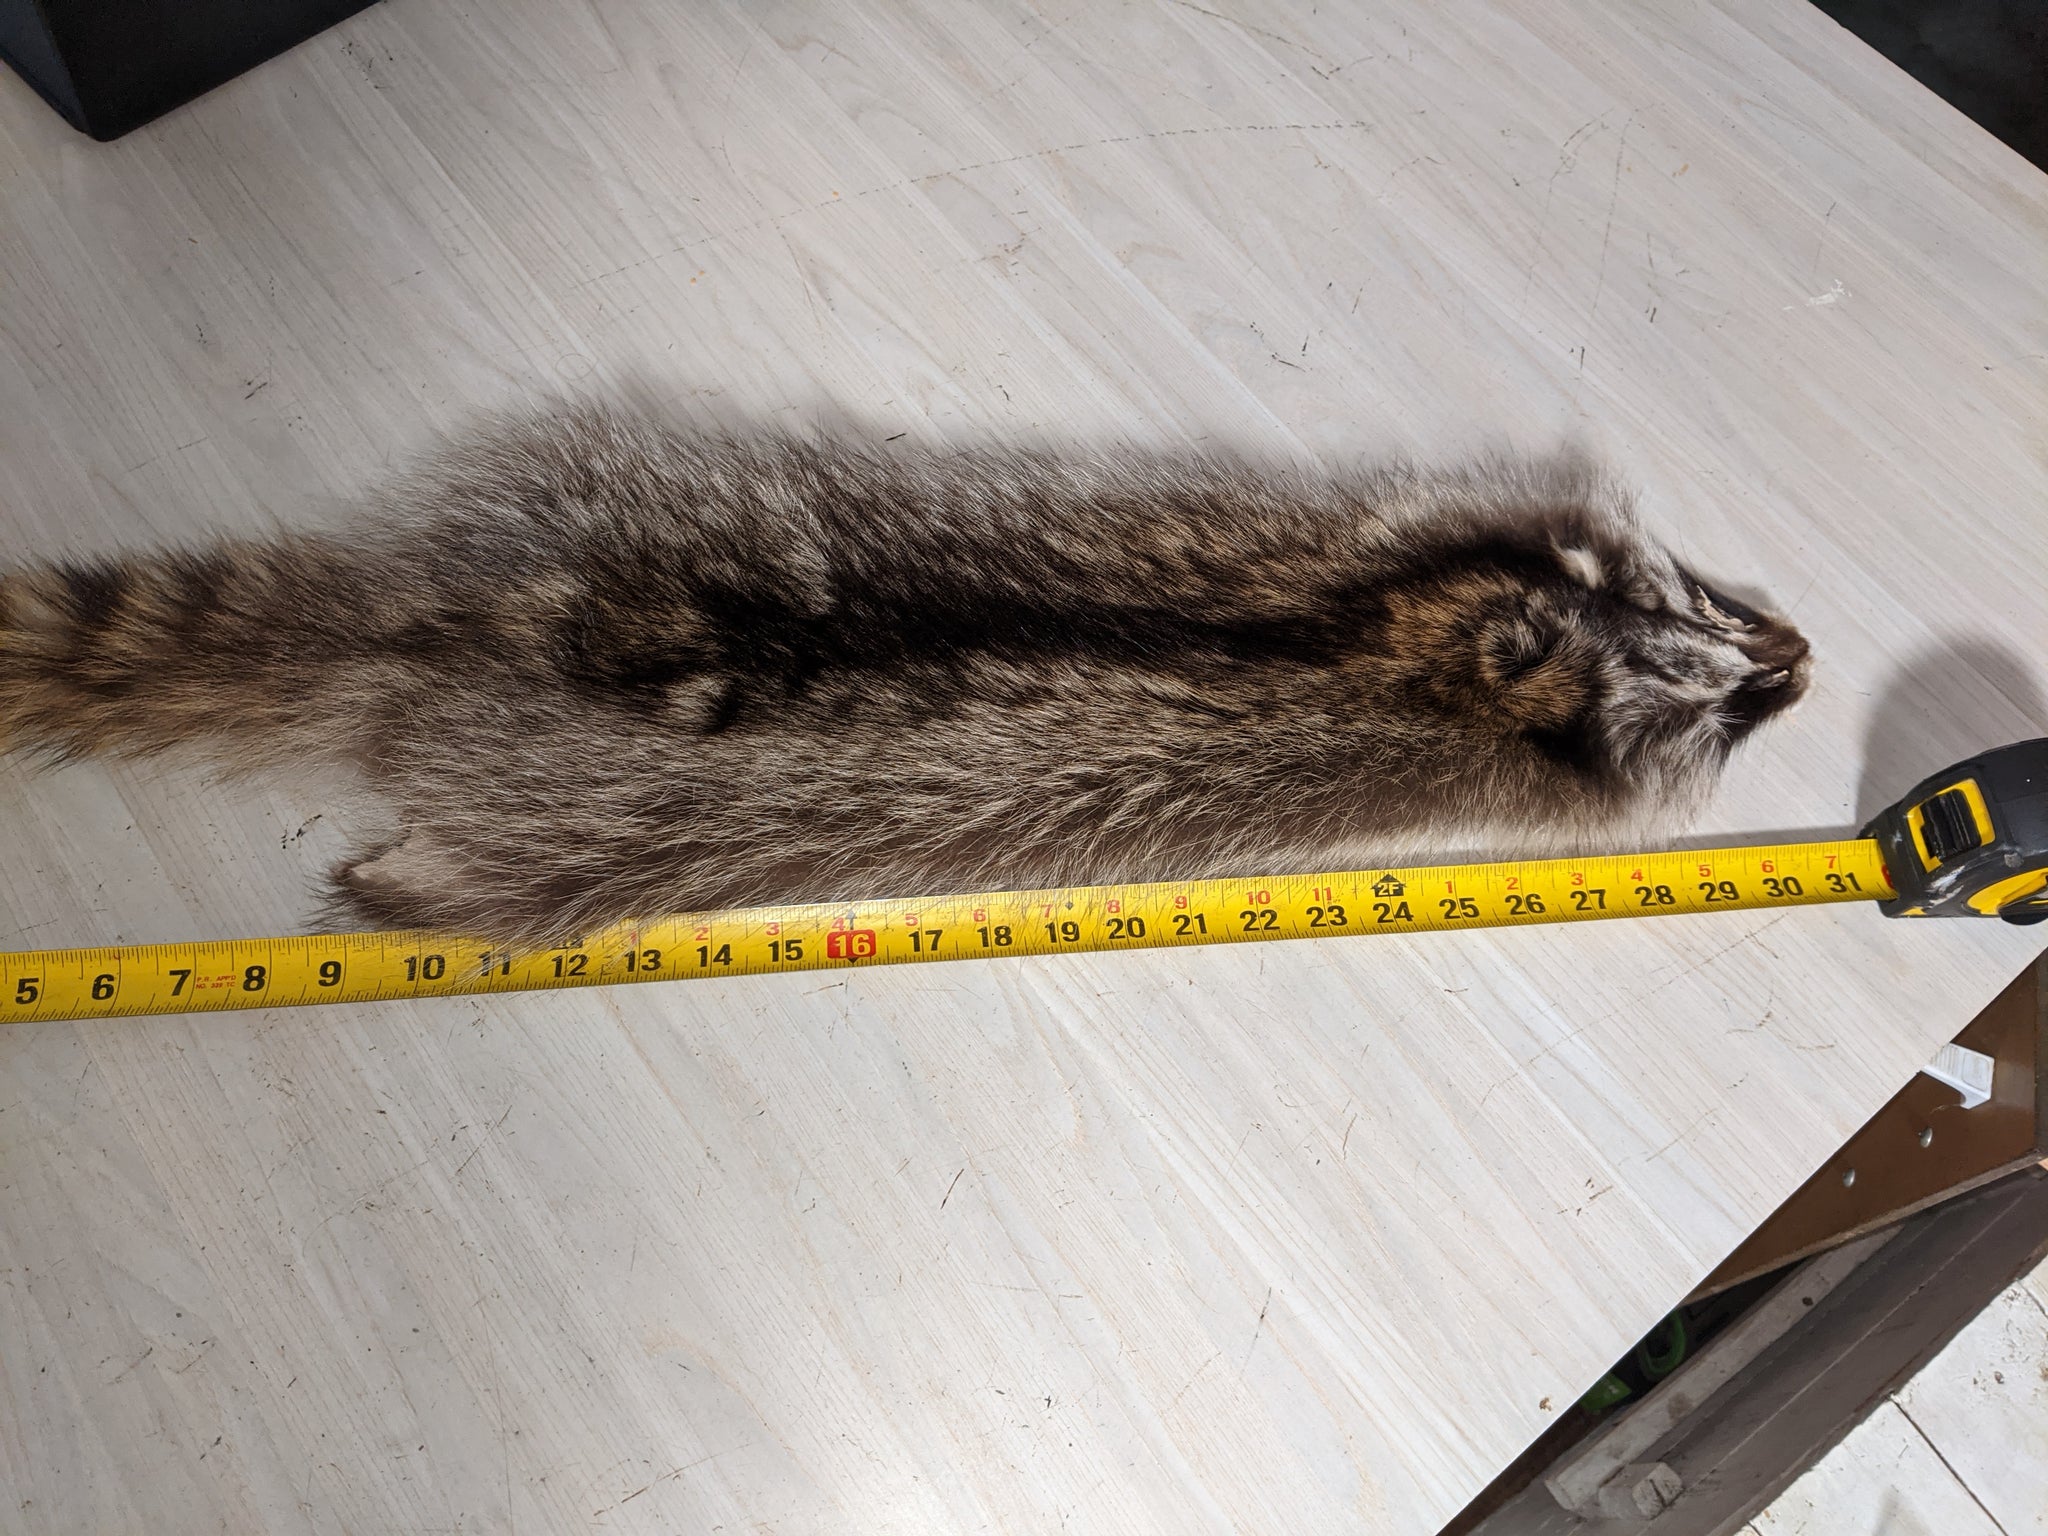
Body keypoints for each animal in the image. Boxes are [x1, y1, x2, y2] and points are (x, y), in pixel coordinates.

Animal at [0, 405, 1809, 944]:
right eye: (1709, 701)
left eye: (1702, 597)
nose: (1796, 656)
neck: (1425, 636)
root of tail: (462, 633)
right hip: (591, 826)